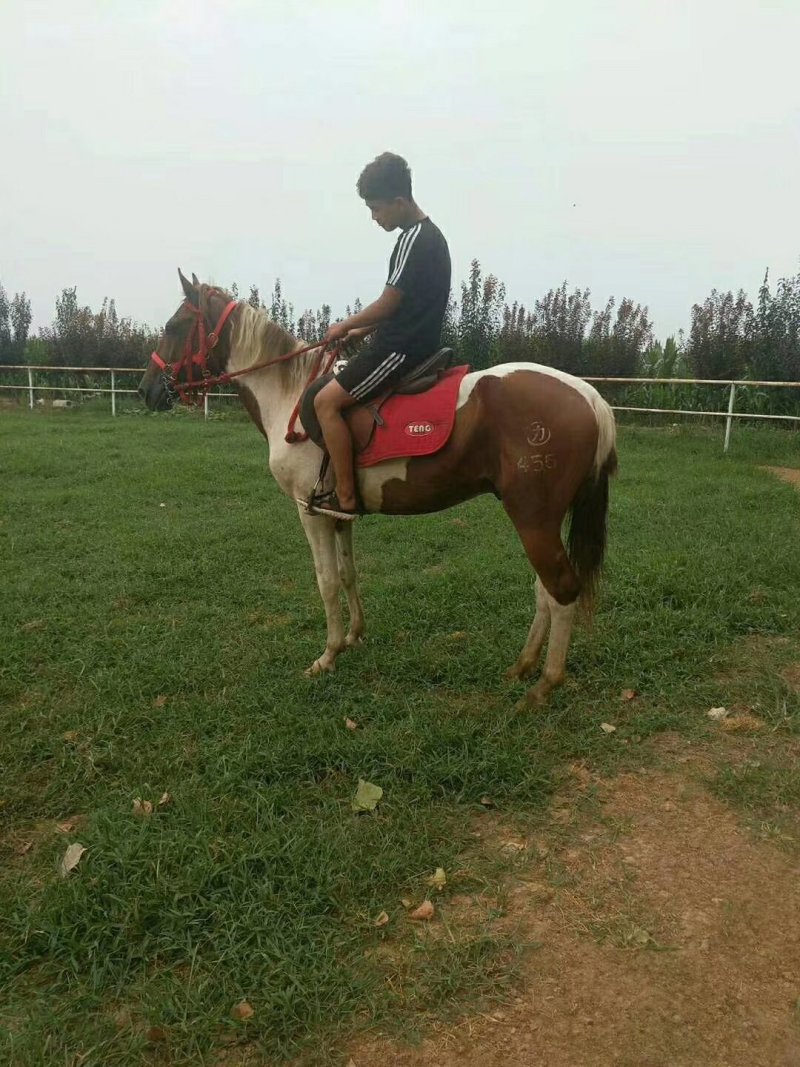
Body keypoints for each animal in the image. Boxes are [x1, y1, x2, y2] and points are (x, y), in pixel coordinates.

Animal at [137, 271, 617, 705]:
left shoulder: (308, 511)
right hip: (539, 520)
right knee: (545, 590)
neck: (287, 395)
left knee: (561, 589)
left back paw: (544, 684)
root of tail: (589, 396)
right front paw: (354, 636)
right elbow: (349, 573)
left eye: (174, 327)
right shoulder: (337, 513)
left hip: (533, 517)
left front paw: (327, 656)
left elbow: (327, 581)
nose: (146, 391)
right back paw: (522, 666)